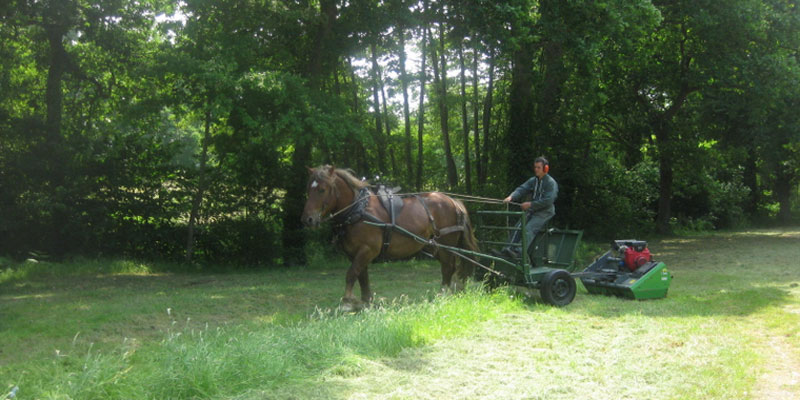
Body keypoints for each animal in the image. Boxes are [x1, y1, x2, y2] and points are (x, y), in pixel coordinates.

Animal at [304, 164, 482, 310]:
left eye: (322, 190)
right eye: (308, 190)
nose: (307, 219)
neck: (358, 210)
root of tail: (453, 201)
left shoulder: (367, 250)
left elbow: (351, 273)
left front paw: (347, 302)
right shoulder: (355, 254)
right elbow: (362, 276)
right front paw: (366, 302)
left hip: (447, 244)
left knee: (448, 267)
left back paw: (443, 294)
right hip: (434, 245)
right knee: (449, 266)